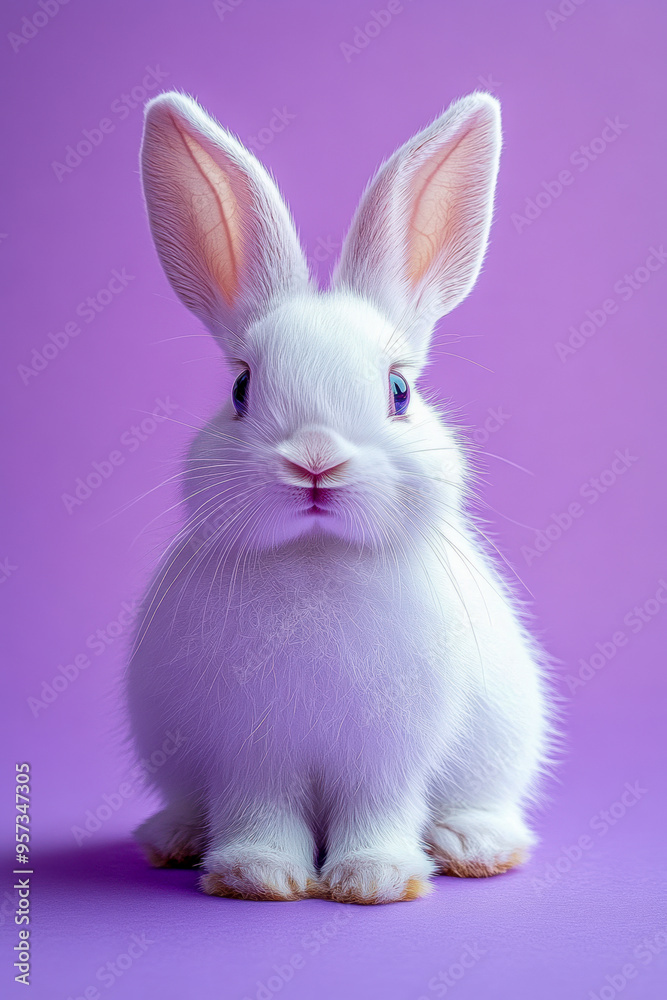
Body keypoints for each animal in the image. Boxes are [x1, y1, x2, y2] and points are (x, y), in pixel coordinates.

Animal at [127, 89, 553, 904]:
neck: (318, 559)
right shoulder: (248, 748)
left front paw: (372, 879)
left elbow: (377, 807)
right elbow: (259, 808)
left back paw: (472, 845)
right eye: (240, 388)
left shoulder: (386, 750)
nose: (315, 460)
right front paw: (258, 875)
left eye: (399, 391)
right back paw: (174, 838)